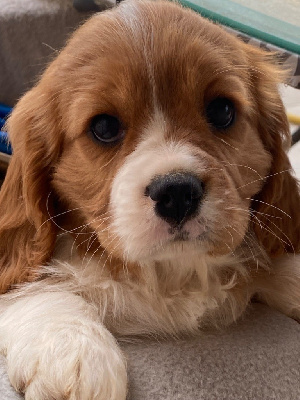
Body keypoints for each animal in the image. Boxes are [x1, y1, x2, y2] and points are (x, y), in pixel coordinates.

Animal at [0, 0, 300, 398]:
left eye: (222, 111)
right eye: (104, 127)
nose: (177, 193)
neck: (169, 272)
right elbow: (37, 288)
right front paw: (74, 351)